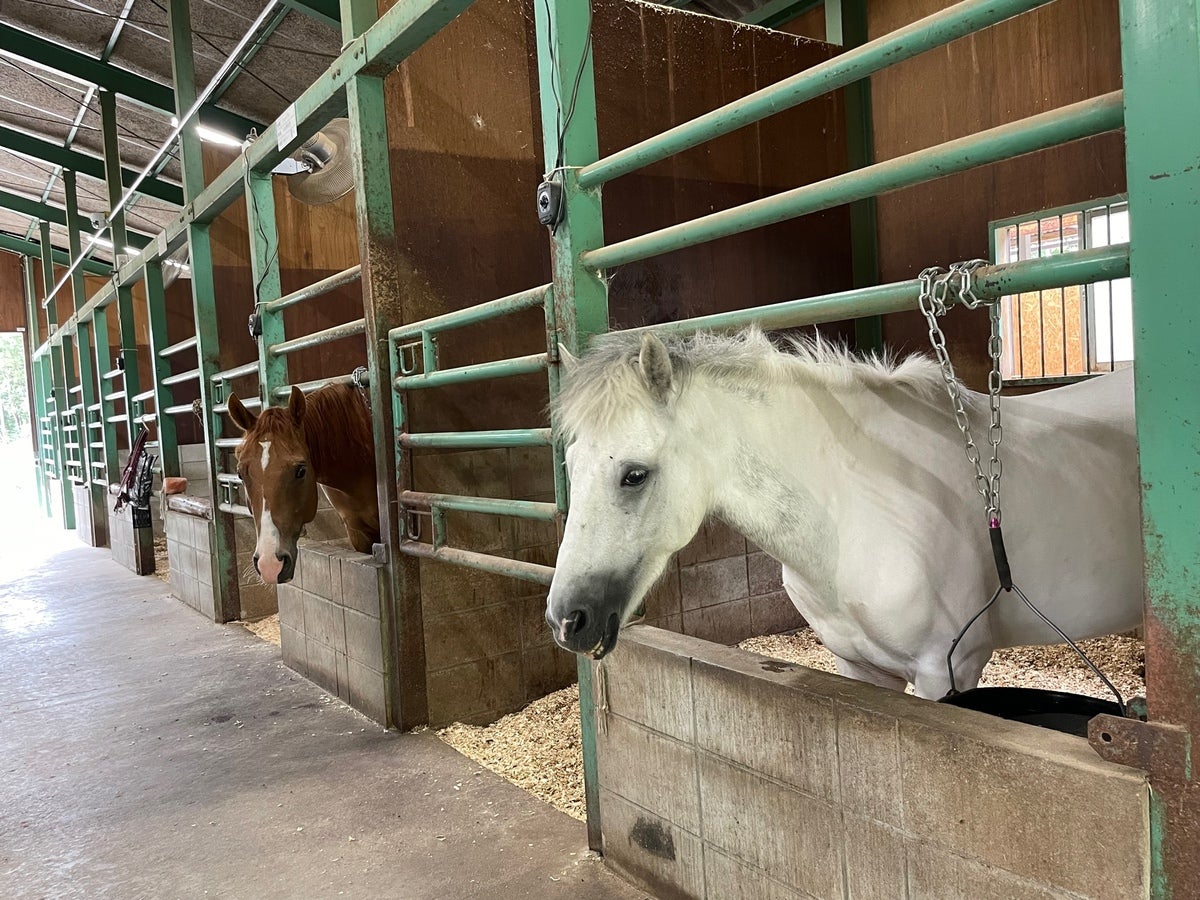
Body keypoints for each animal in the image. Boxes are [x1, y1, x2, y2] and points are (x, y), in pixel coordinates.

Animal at [545, 327, 1142, 700]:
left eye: (635, 474)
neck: (853, 513)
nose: (567, 619)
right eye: (570, 464)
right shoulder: (859, 667)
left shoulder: (948, 670)